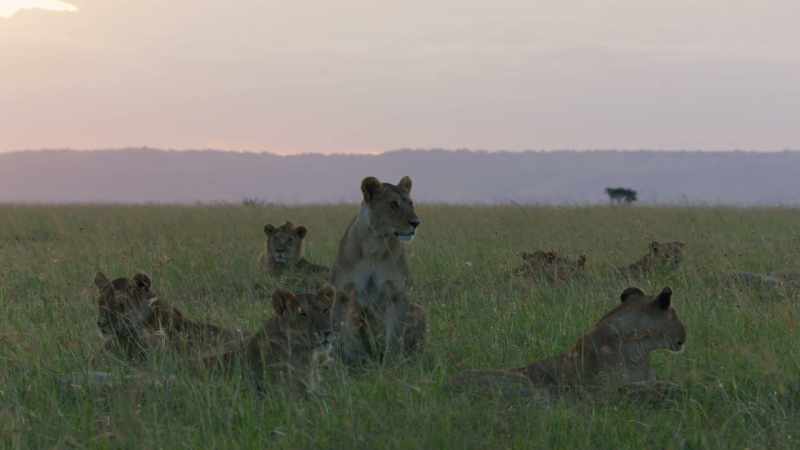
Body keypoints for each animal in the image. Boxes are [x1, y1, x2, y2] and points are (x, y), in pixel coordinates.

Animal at [330, 176, 426, 362]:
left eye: (411, 203)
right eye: (393, 204)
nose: (416, 223)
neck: (375, 244)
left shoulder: (397, 292)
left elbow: (394, 334)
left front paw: (392, 362)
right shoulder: (343, 292)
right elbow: (343, 331)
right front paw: (344, 360)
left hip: (419, 309)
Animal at [449, 287, 686, 398]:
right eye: (675, 315)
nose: (684, 336)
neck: (640, 348)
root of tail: (448, 385)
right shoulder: (604, 392)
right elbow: (653, 386)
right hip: (526, 383)